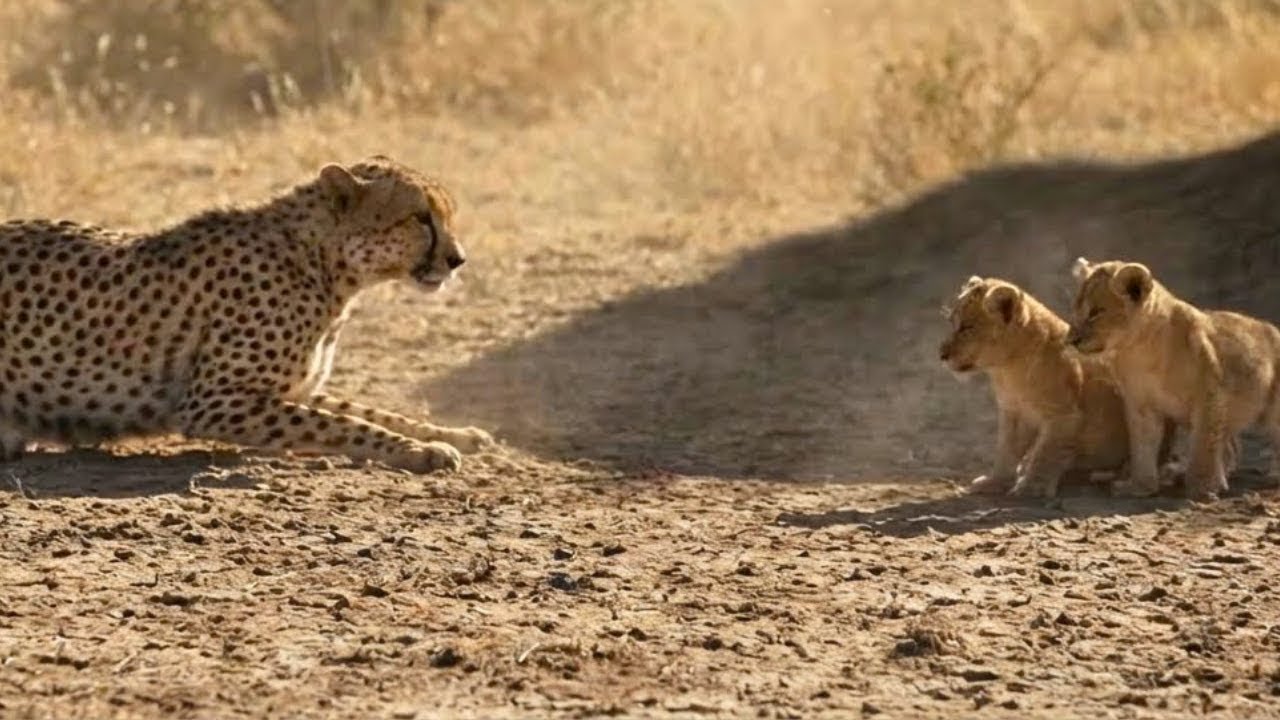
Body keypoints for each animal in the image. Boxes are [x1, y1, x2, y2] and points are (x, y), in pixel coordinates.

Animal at [1066, 258, 1276, 500]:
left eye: (1096, 312)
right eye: (1076, 310)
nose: (1071, 340)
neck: (1140, 351)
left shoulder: (1209, 394)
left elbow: (1203, 444)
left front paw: (1201, 488)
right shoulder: (1140, 404)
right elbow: (1142, 446)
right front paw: (1140, 486)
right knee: (1230, 446)